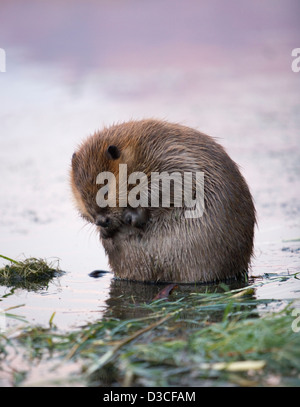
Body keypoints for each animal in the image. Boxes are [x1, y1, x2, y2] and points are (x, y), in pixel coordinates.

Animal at [70, 118, 255, 284]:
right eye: (81, 195)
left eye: (106, 190)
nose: (102, 221)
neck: (136, 150)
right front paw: (106, 231)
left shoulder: (169, 155)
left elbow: (171, 183)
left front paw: (132, 216)